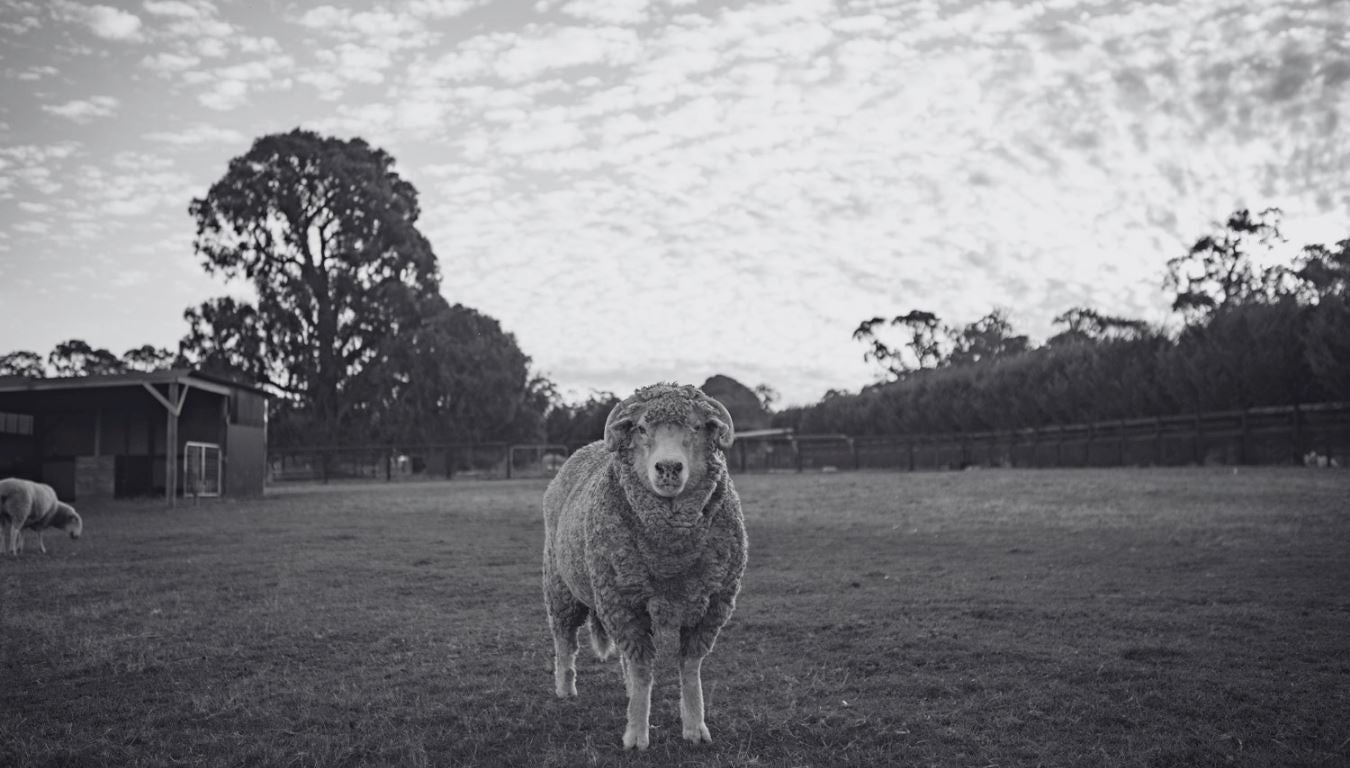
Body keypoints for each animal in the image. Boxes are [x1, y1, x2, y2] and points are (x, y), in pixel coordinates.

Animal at [540, 383, 750, 750]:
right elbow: (641, 668)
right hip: (561, 586)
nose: (668, 468)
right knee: (565, 640)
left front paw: (695, 726)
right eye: (640, 428)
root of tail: (586, 448)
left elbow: (688, 667)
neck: (670, 554)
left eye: (697, 426)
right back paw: (565, 687)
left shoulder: (711, 606)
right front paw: (636, 733)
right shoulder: (622, 603)